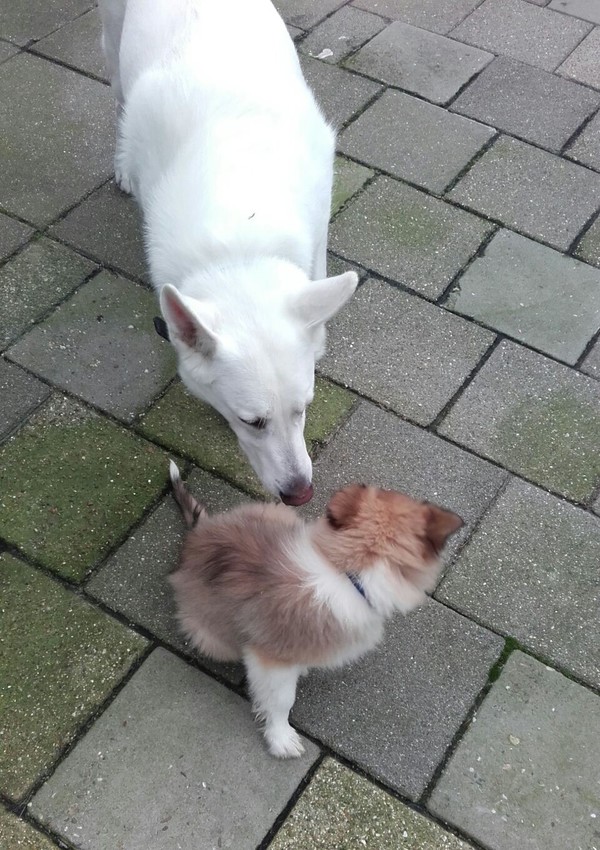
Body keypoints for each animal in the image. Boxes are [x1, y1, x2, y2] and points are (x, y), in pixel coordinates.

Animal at [99, 0, 358, 505]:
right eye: (250, 421)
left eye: (304, 408)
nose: (301, 495)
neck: (241, 241)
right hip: (114, 42)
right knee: (118, 97)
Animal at [168, 462, 464, 758]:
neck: (350, 575)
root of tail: (199, 532)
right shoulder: (269, 658)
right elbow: (281, 700)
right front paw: (281, 737)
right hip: (211, 638)